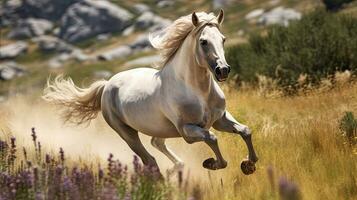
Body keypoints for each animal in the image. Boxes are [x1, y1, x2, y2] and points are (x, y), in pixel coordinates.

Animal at [43, 9, 258, 175]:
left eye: (223, 39)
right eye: (203, 41)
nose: (223, 70)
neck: (199, 92)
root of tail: (107, 85)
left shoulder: (220, 119)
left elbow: (245, 131)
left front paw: (248, 165)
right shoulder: (187, 131)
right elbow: (212, 138)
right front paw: (211, 163)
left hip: (160, 128)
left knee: (157, 144)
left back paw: (176, 169)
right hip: (126, 132)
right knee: (150, 161)